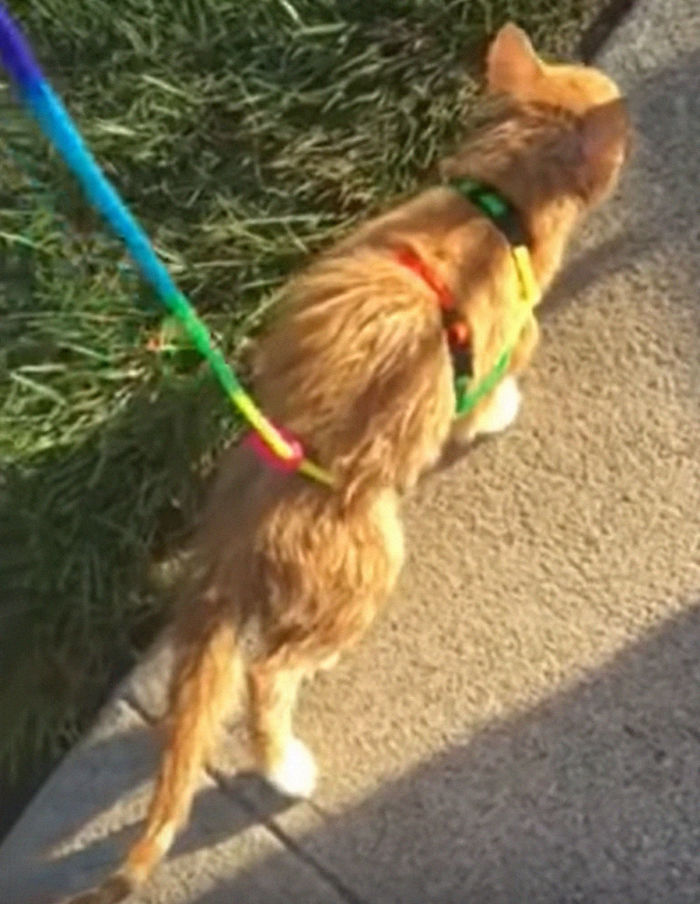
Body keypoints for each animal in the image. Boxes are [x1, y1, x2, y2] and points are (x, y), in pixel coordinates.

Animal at [68, 23, 632, 904]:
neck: (493, 201)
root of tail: (245, 511)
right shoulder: (510, 338)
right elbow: (489, 393)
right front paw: (499, 413)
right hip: (365, 571)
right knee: (268, 676)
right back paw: (285, 767)